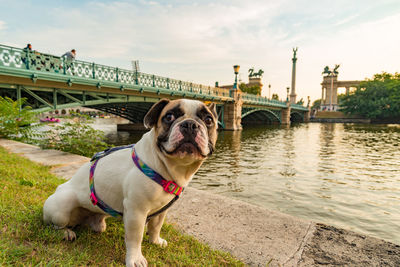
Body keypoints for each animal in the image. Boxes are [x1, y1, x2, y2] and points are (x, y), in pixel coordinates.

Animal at [43, 99, 219, 267]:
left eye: (208, 120)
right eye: (169, 117)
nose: (190, 124)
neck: (169, 167)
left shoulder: (162, 211)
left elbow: (156, 227)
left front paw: (155, 241)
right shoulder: (136, 211)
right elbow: (135, 237)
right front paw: (135, 259)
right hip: (61, 207)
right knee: (54, 225)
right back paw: (65, 233)